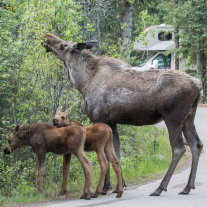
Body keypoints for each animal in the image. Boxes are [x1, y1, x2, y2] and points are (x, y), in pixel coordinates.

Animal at [44, 33, 202, 196]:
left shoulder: (100, 118)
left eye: (63, 45)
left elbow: (107, 155)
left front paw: (105, 187)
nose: (47, 36)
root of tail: (198, 85)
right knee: (196, 144)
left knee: (179, 148)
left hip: (173, 117)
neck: (83, 83)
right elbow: (117, 153)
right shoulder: (113, 122)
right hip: (189, 117)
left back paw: (160, 188)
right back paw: (187, 187)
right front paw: (120, 186)